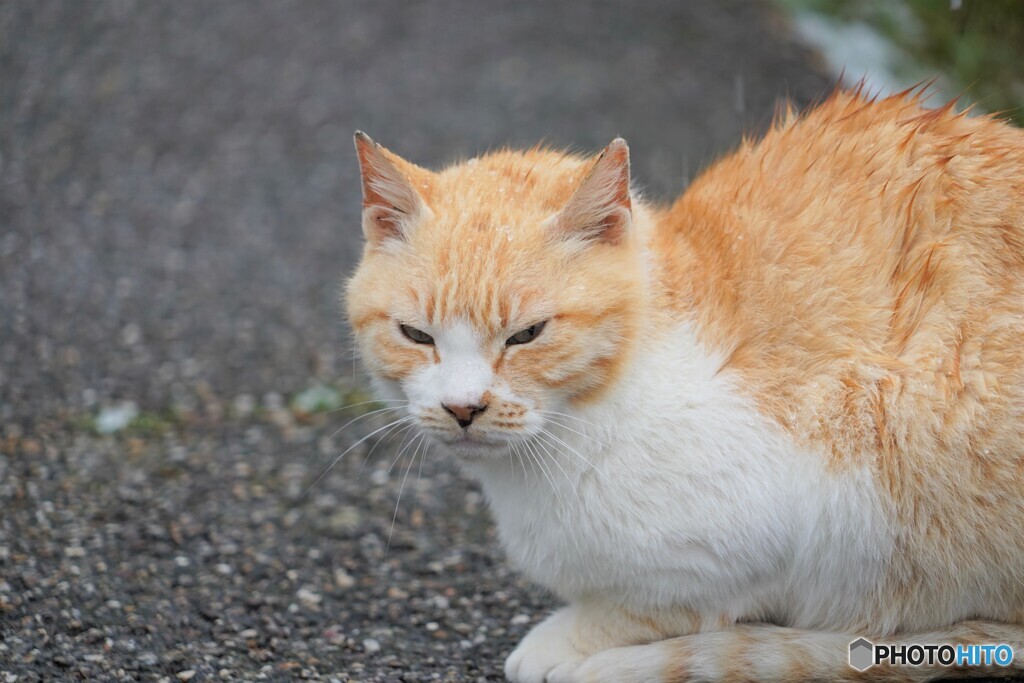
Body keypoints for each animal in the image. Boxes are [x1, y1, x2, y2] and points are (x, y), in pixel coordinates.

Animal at [344, 87, 1024, 683]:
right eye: (416, 334)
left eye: (527, 334)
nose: (463, 407)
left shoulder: (786, 516)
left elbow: (649, 607)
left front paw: (565, 643)